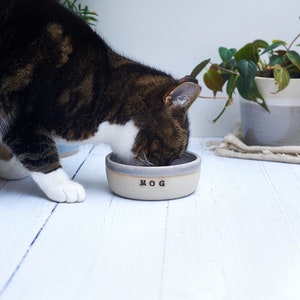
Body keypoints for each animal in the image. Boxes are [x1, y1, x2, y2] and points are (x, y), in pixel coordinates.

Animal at [0, 0, 202, 203]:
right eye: (174, 152)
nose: (166, 167)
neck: (103, 92)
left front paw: (8, 168)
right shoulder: (22, 113)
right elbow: (39, 148)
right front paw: (62, 185)